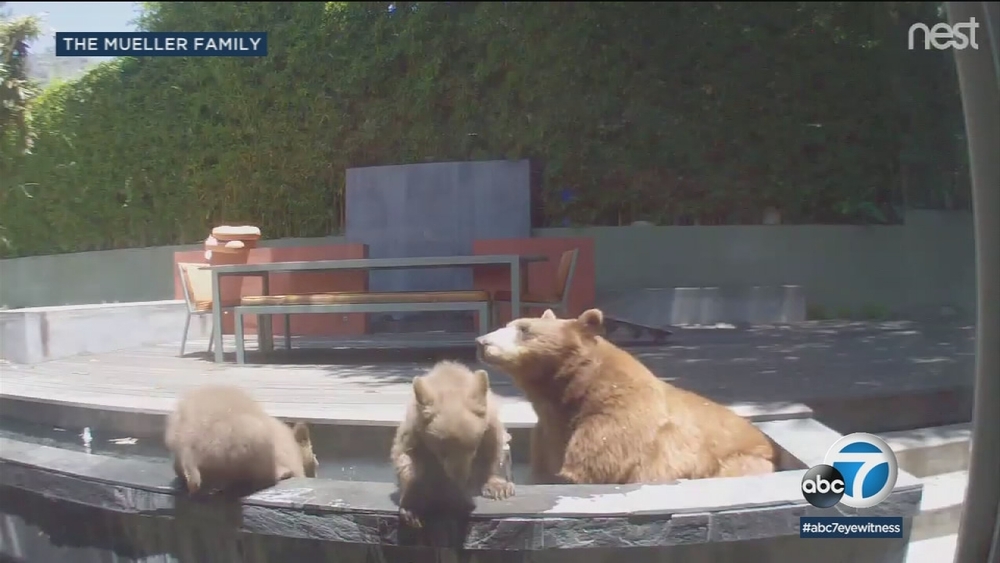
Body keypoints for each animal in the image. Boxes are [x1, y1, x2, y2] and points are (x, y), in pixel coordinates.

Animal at [390, 361, 515, 528]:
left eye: (472, 448)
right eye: (442, 451)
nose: (459, 478)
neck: (450, 383)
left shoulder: (490, 422)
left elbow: (492, 448)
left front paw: (499, 488)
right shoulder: (414, 429)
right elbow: (405, 457)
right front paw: (412, 509)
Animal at [475, 308, 777, 485]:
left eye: (524, 329)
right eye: (509, 323)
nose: (482, 341)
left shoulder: (617, 424)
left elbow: (589, 465)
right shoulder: (549, 429)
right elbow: (544, 464)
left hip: (744, 460)